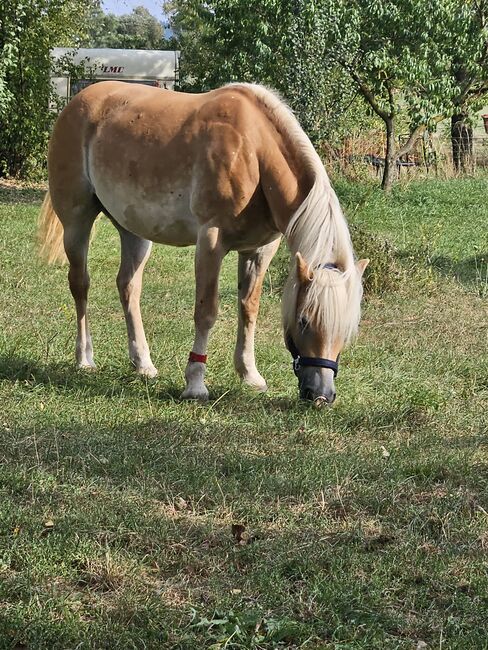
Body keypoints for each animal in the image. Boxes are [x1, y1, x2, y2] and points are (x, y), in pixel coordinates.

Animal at [38, 81, 368, 404]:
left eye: (346, 329)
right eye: (303, 321)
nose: (321, 394)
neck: (255, 152)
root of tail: (78, 100)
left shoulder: (259, 250)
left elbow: (249, 308)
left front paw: (250, 375)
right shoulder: (211, 242)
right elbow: (206, 311)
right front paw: (195, 384)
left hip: (134, 231)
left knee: (128, 287)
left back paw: (143, 363)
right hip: (77, 223)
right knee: (80, 284)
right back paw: (84, 358)